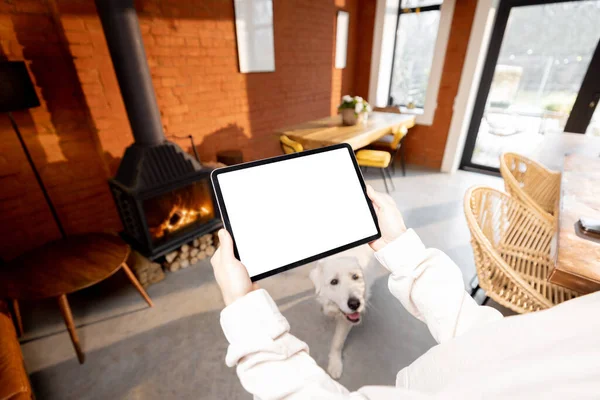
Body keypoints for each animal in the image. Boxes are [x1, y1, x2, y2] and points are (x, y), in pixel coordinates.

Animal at [312, 248, 372, 380]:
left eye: (355, 277)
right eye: (334, 282)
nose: (355, 304)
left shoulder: (346, 321)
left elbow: (338, 342)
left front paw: (335, 364)